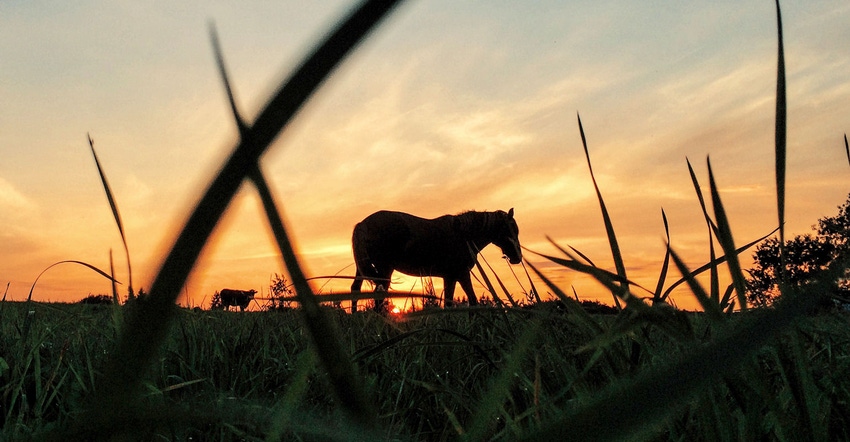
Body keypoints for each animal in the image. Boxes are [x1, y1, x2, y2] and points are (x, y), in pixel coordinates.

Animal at [348, 209, 520, 312]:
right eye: (510, 229)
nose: (517, 258)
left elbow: (449, 303)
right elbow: (472, 301)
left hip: (362, 269)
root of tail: (363, 224)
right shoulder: (462, 274)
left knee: (355, 289)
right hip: (384, 270)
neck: (463, 235)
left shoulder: (450, 277)